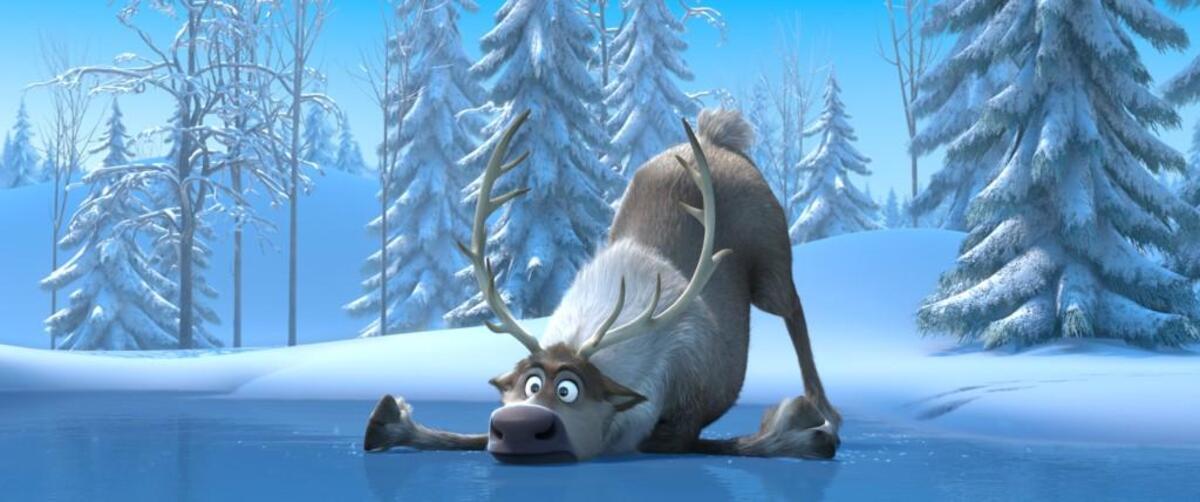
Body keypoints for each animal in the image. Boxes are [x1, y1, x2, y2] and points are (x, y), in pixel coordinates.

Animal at [363, 108, 840, 463]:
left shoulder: (683, 420)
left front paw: (808, 427)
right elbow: (467, 438)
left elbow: (725, 443)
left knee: (795, 310)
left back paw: (828, 410)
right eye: (530, 385)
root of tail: (717, 136)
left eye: (569, 389)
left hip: (771, 262)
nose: (519, 426)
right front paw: (389, 421)